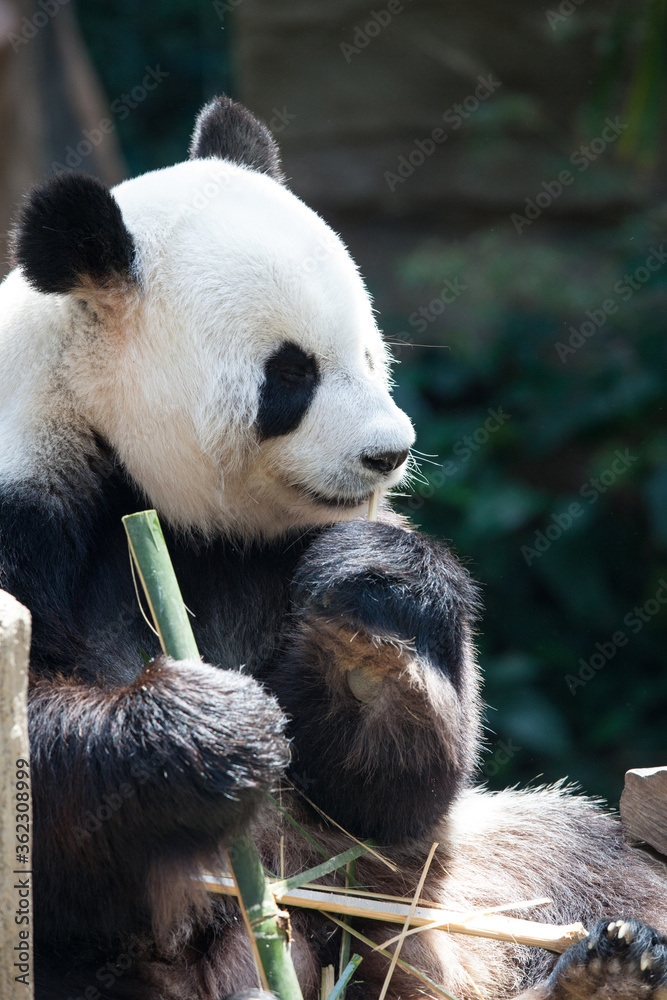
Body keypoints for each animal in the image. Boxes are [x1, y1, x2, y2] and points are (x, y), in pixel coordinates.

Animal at [0, 95, 665, 1000]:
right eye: (290, 375)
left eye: (371, 353)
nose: (391, 452)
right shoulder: (28, 511)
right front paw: (209, 730)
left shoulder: (275, 554)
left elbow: (386, 798)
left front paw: (368, 617)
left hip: (456, 890)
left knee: (580, 856)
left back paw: (607, 964)